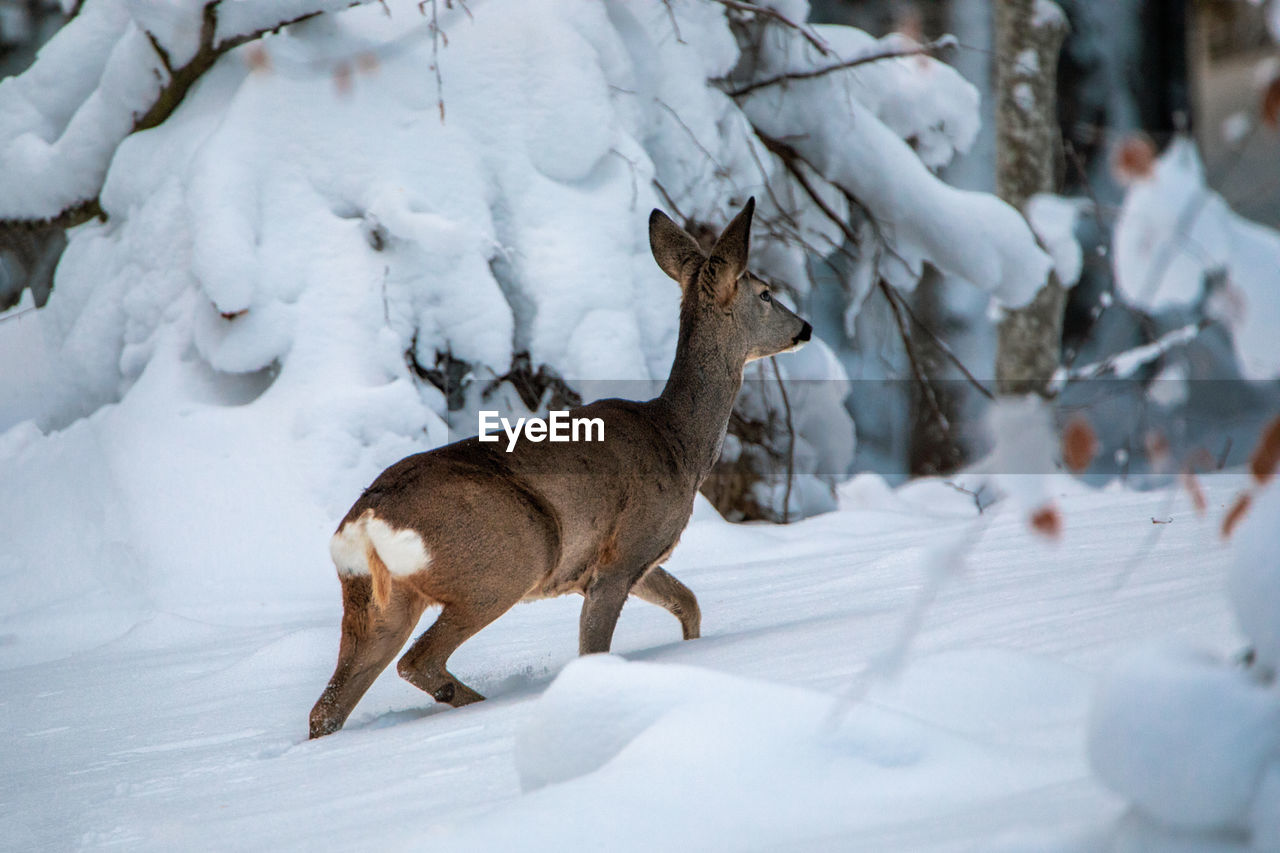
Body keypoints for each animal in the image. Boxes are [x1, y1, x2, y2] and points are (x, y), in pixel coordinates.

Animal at [309, 199, 808, 737]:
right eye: (765, 293)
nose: (805, 327)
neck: (679, 442)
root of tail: (364, 521)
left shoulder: (635, 560)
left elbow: (689, 603)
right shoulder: (625, 550)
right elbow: (596, 650)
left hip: (376, 601)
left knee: (328, 707)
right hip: (510, 559)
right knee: (418, 661)